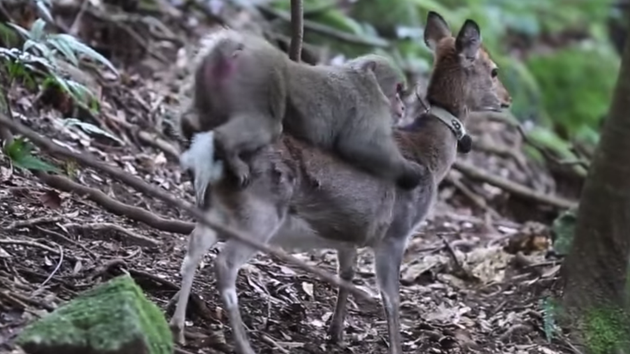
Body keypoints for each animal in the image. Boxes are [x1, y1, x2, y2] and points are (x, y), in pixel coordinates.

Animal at [169, 11, 512, 354]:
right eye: (494, 70)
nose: (507, 100)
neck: (430, 154)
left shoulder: (351, 235)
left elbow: (347, 273)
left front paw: (335, 333)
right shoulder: (395, 232)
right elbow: (392, 300)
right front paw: (392, 345)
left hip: (219, 204)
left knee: (195, 245)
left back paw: (177, 326)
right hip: (259, 211)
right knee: (225, 263)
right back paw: (242, 343)